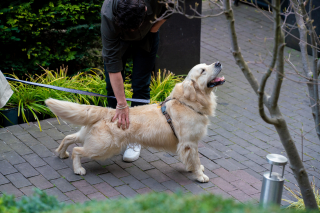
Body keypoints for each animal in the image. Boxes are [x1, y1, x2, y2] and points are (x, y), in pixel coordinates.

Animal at [45, 62, 225, 183]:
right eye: (203, 71)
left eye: (207, 65)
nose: (218, 63)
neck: (188, 103)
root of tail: (109, 111)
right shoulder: (189, 142)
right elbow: (196, 159)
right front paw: (200, 175)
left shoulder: (188, 144)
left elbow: (191, 159)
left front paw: (193, 169)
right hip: (103, 147)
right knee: (77, 150)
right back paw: (78, 169)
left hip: (92, 137)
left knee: (69, 138)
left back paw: (61, 153)